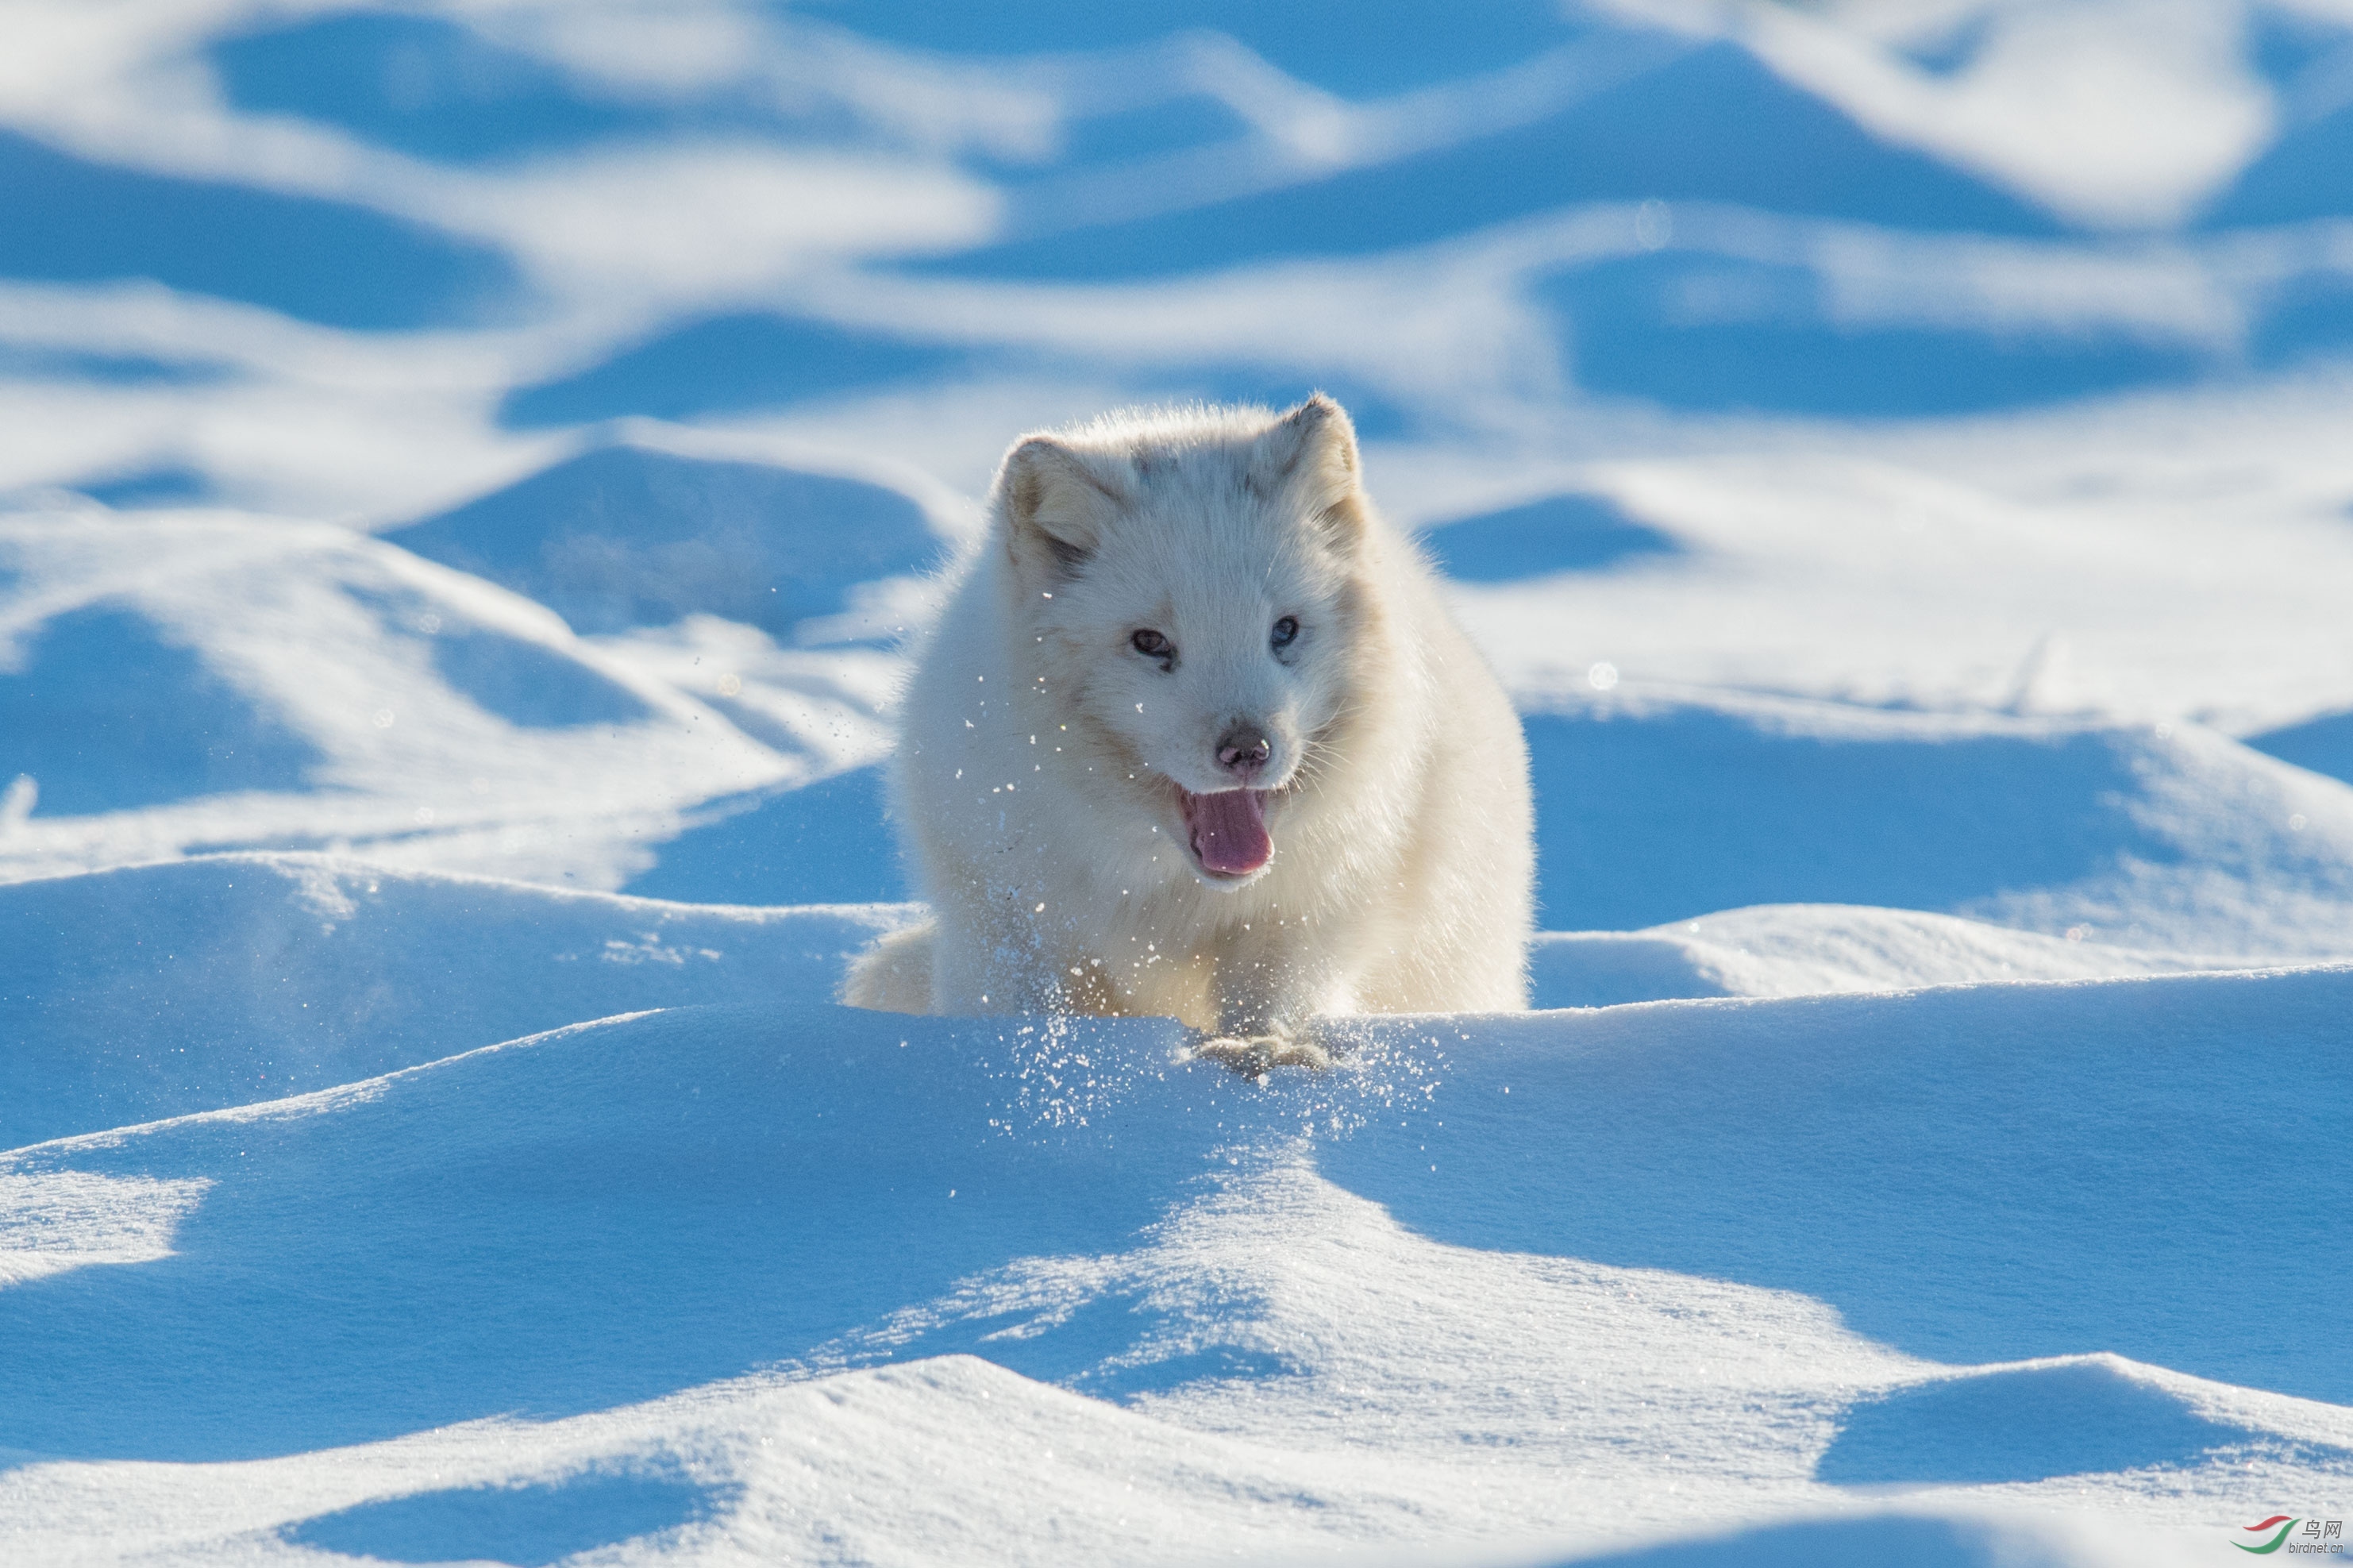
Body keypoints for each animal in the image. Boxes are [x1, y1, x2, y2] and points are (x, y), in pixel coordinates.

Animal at [851, 398, 1543, 1069]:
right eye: (1151, 642)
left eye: (1284, 630)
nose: (1248, 750)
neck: (1172, 894)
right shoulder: (1007, 912)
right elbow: (1032, 1007)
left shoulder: (1312, 904)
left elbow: (1271, 993)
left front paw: (1264, 1050)